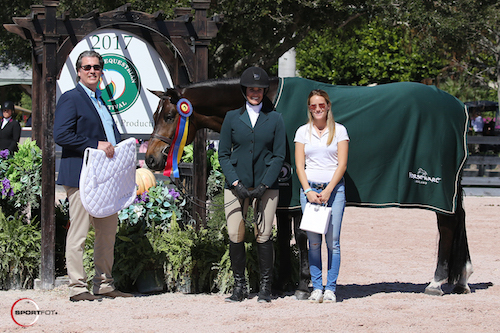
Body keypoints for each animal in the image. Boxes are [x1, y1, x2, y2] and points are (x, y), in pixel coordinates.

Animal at [145, 76, 472, 296]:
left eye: (171, 115)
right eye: (156, 115)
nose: (151, 158)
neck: (267, 105)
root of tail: (459, 106)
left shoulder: (296, 190)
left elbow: (301, 235)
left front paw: (302, 285)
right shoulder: (280, 191)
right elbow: (280, 236)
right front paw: (279, 283)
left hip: (438, 188)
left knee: (448, 225)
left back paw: (437, 282)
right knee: (459, 220)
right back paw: (461, 280)